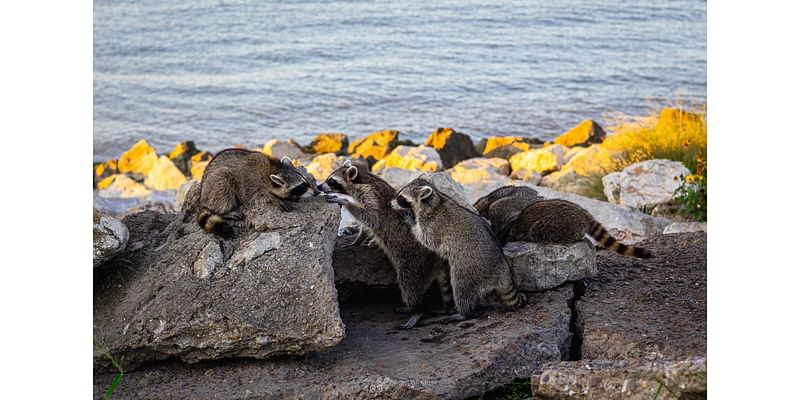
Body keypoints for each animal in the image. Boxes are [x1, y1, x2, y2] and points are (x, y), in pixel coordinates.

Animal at [320, 161, 456, 330]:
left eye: (331, 180)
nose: (318, 186)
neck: (362, 182)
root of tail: (438, 259)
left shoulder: (372, 198)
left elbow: (370, 216)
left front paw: (345, 201)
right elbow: (367, 226)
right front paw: (358, 240)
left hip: (414, 263)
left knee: (410, 285)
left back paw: (416, 311)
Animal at [392, 178, 528, 324]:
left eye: (401, 198)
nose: (390, 203)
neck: (435, 201)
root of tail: (502, 269)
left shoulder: (433, 225)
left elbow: (426, 239)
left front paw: (411, 222)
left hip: (470, 268)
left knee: (461, 287)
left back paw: (463, 313)